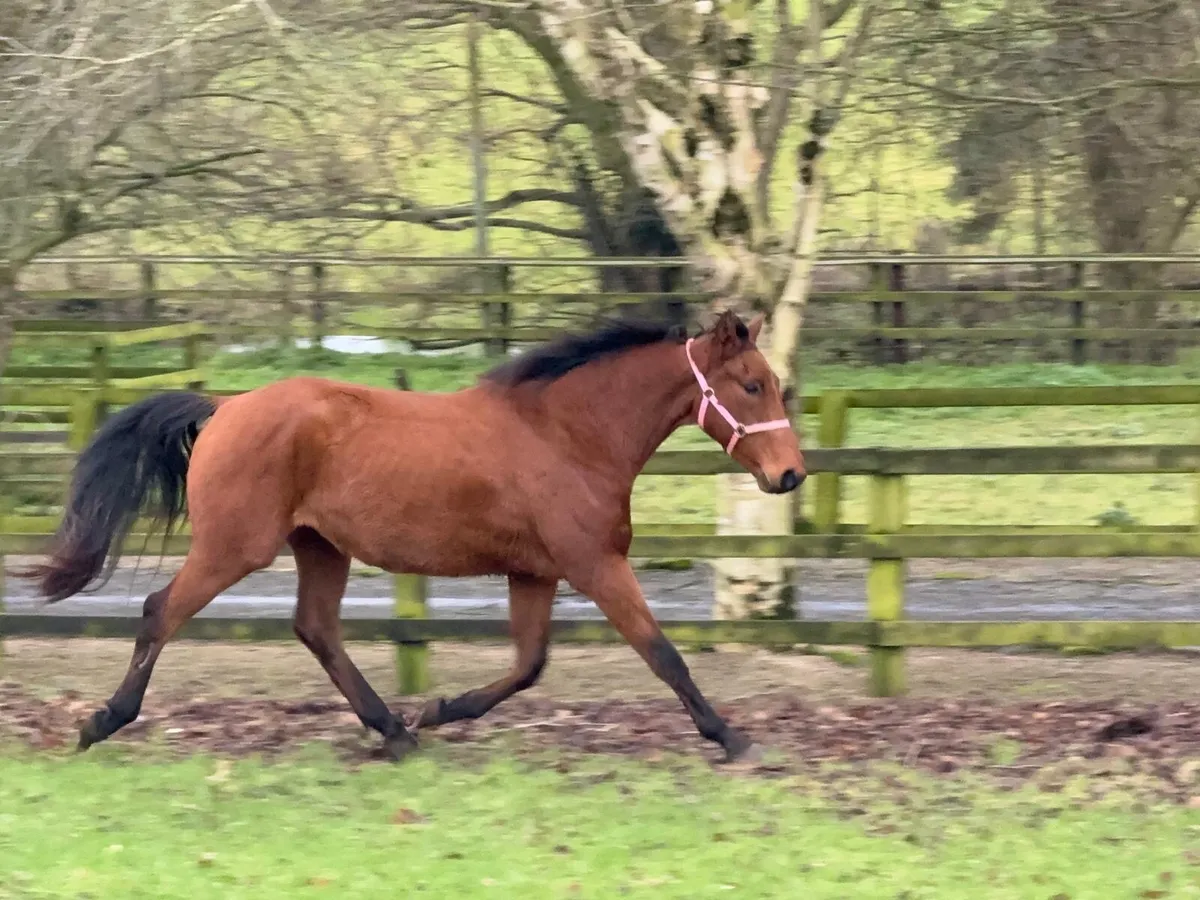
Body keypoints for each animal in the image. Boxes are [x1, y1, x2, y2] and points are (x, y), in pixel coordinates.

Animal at [14, 309, 805, 763]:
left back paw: (394, 732)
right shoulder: (595, 565)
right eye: (753, 385)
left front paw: (438, 710)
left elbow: (529, 665)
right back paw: (101, 723)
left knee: (317, 629)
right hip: (234, 548)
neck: (566, 435)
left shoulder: (537, 573)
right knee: (161, 612)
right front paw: (731, 737)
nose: (790, 474)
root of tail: (225, 406)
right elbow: (661, 653)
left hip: (320, 547)